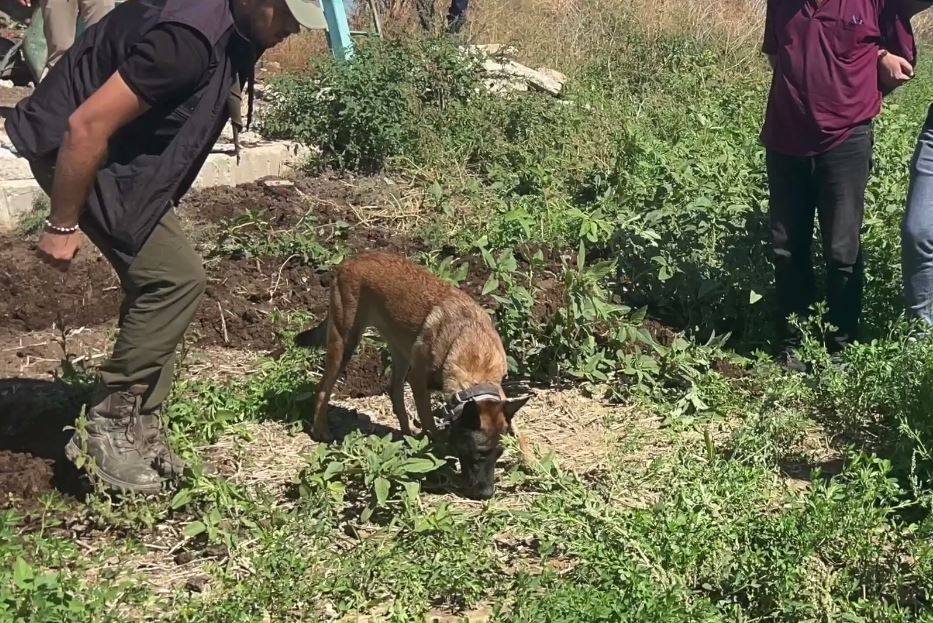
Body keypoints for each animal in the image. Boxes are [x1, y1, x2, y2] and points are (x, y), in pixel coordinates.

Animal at [298, 251, 532, 500]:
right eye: (479, 454)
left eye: (499, 453)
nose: (488, 493)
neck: (473, 355)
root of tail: (350, 261)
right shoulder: (419, 382)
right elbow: (430, 422)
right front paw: (437, 452)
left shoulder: (498, 393)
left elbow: (518, 431)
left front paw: (531, 460)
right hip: (344, 342)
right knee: (323, 387)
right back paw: (321, 429)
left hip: (400, 352)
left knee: (394, 390)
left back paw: (407, 431)